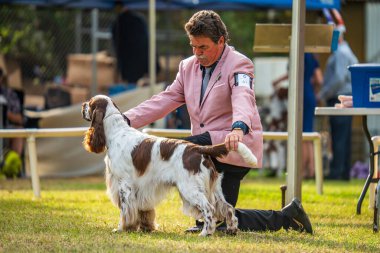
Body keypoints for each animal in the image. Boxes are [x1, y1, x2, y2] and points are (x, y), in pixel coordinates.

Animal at [81, 94, 258, 235]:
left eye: (90, 103)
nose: (83, 105)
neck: (116, 132)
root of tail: (199, 149)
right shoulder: (141, 188)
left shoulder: (124, 185)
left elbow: (125, 211)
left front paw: (121, 228)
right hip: (214, 188)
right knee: (228, 207)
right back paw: (231, 230)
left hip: (190, 188)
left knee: (209, 209)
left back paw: (205, 233)